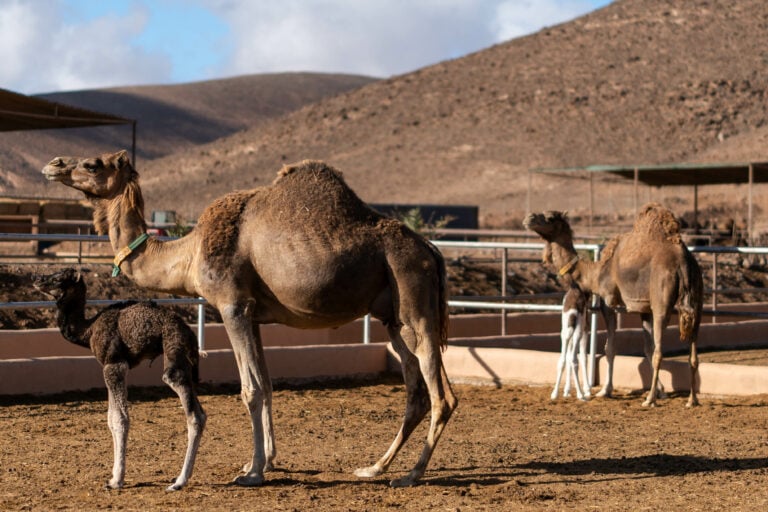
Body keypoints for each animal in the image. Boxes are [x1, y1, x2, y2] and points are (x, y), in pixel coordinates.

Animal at [33, 268, 205, 491]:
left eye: (58, 278)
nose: (37, 280)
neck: (89, 330)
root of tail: (189, 333)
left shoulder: (114, 365)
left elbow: (119, 419)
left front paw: (117, 480)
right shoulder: (112, 368)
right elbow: (110, 419)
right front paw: (113, 476)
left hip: (173, 350)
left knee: (190, 409)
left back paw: (179, 481)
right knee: (201, 412)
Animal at [524, 203, 704, 407]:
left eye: (551, 217)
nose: (529, 218)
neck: (594, 273)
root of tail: (684, 263)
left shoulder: (608, 301)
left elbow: (611, 348)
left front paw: (605, 390)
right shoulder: (644, 308)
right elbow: (647, 349)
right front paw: (662, 391)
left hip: (662, 302)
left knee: (660, 352)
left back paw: (649, 400)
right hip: (697, 300)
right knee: (693, 354)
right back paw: (692, 399)